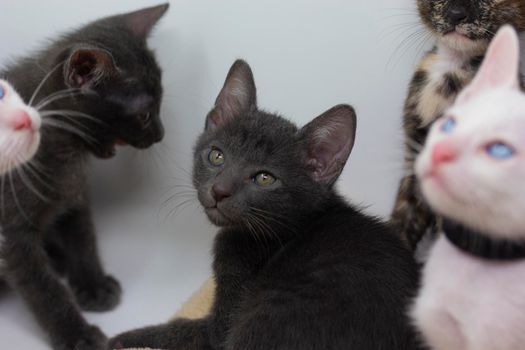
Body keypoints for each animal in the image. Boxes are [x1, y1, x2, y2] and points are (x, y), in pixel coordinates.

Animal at [0, 3, 168, 350]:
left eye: (162, 101)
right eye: (145, 114)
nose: (161, 133)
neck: (65, 154)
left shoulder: (75, 195)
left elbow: (83, 238)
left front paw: (94, 285)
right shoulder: (11, 234)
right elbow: (42, 287)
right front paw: (76, 334)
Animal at [108, 60, 420, 350]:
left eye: (264, 178)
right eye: (217, 156)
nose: (219, 191)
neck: (286, 230)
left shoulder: (222, 322)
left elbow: (184, 330)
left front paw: (122, 338)